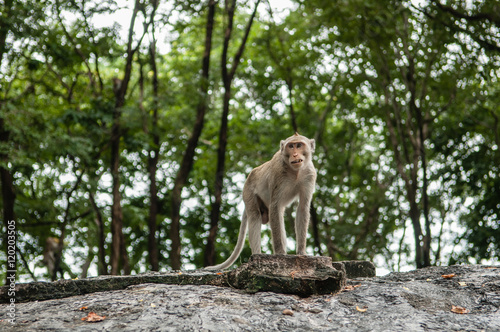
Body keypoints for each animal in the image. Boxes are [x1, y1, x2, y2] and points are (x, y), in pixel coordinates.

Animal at [206, 132, 316, 270]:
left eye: (299, 145)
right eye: (291, 146)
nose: (295, 154)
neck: (295, 172)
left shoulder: (310, 175)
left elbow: (302, 208)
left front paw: (301, 252)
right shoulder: (278, 173)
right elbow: (275, 206)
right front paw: (280, 253)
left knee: (278, 216)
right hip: (248, 193)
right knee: (255, 216)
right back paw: (257, 255)